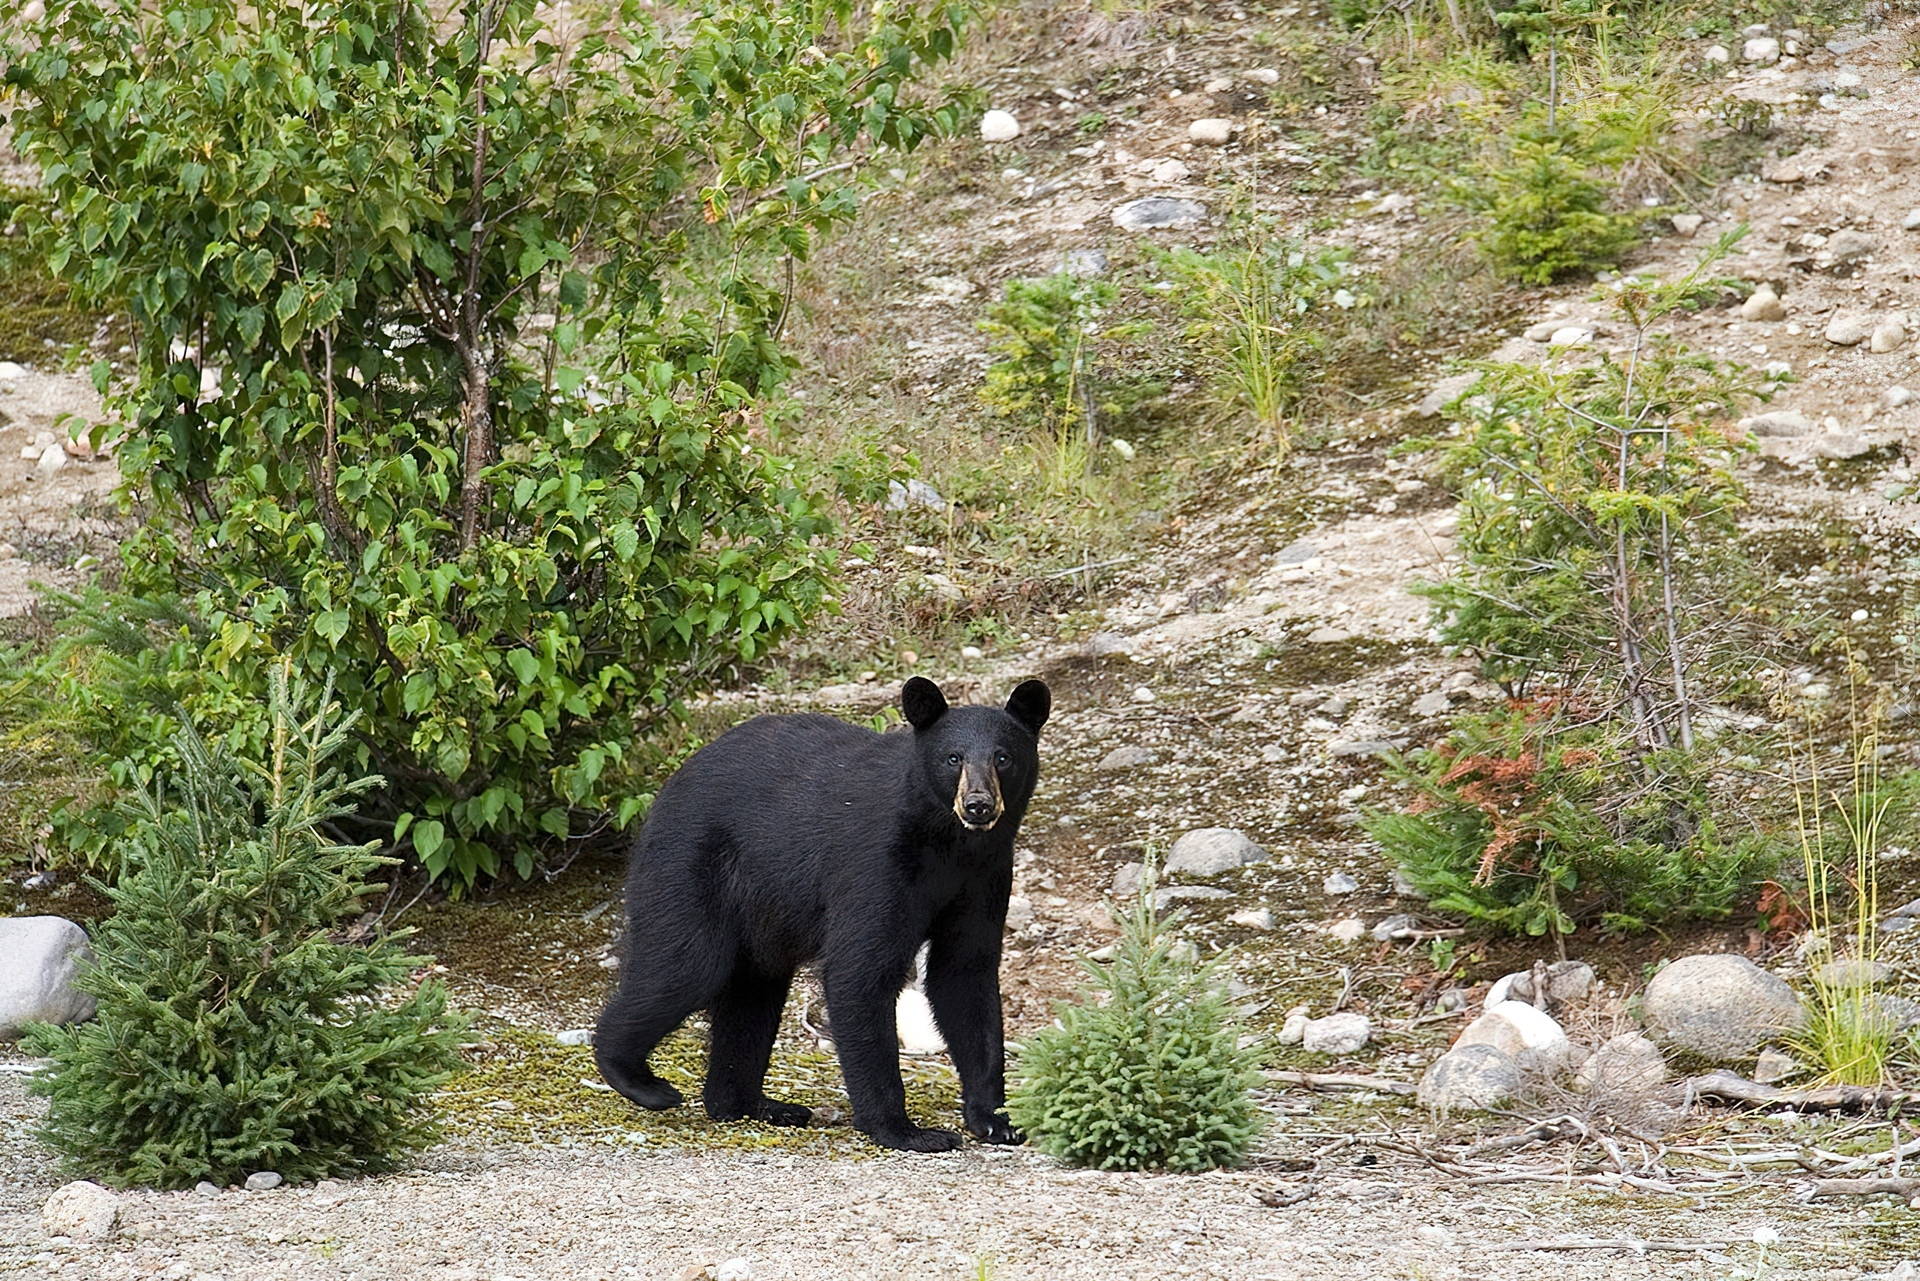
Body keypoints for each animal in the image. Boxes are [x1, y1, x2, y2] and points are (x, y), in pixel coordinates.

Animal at [595, 676, 1052, 1160]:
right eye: (953, 758)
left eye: (1003, 757)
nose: (978, 805)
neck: (948, 843)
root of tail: (667, 789)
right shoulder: (876, 864)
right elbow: (860, 971)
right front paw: (904, 1130)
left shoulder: (986, 875)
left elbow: (965, 974)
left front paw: (995, 1120)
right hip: (692, 865)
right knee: (687, 965)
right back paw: (639, 1079)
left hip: (760, 916)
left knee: (752, 993)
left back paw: (752, 1104)